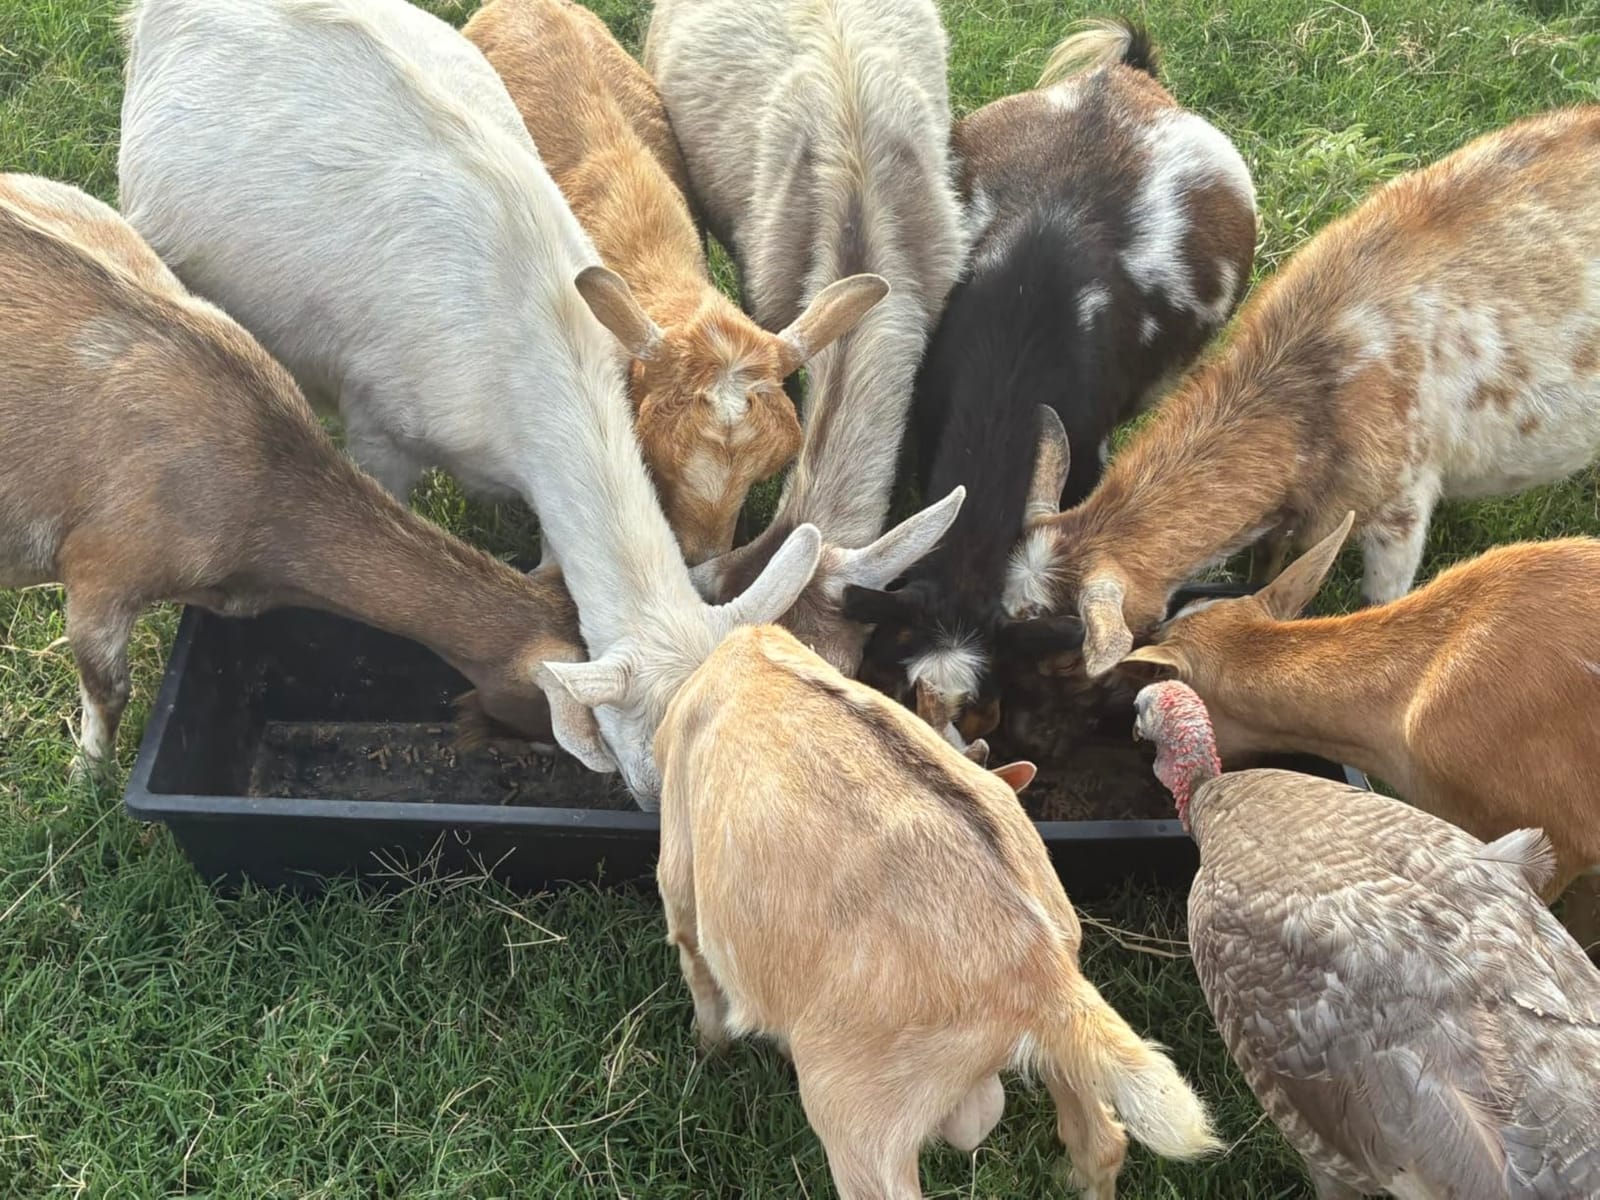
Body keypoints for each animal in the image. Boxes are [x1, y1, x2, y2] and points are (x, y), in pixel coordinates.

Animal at [654, 623, 1221, 1200]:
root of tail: (1039, 969)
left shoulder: (678, 866)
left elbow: (695, 960)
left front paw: (707, 1049)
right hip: (1065, 1027)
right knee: (1101, 1143)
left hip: (860, 1122)